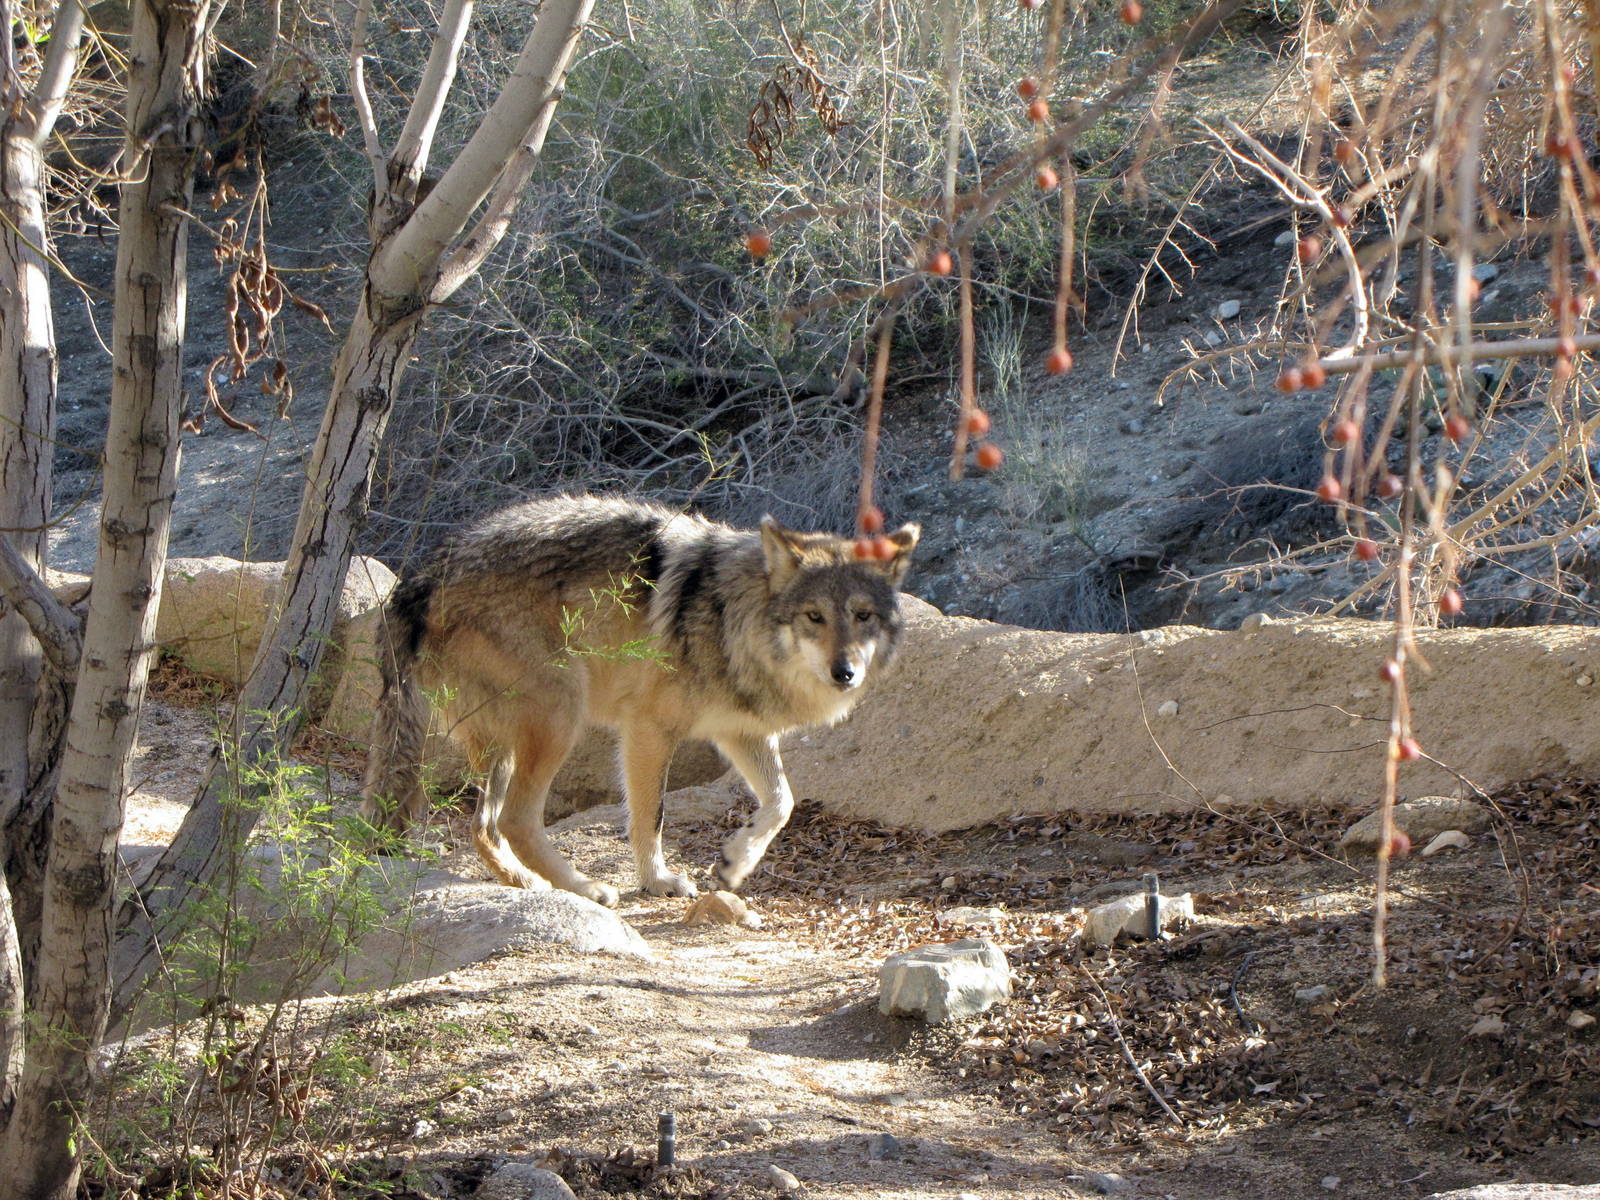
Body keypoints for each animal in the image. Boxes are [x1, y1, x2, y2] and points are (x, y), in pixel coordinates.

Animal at [359, 495, 919, 906]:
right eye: (814, 617)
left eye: (863, 616)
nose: (844, 673)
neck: (729, 618)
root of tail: (420, 578)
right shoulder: (649, 728)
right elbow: (651, 817)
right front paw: (658, 882)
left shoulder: (741, 731)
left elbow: (782, 802)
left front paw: (734, 863)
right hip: (560, 716)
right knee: (514, 819)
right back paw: (584, 888)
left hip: (505, 743)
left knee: (483, 826)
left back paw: (530, 885)